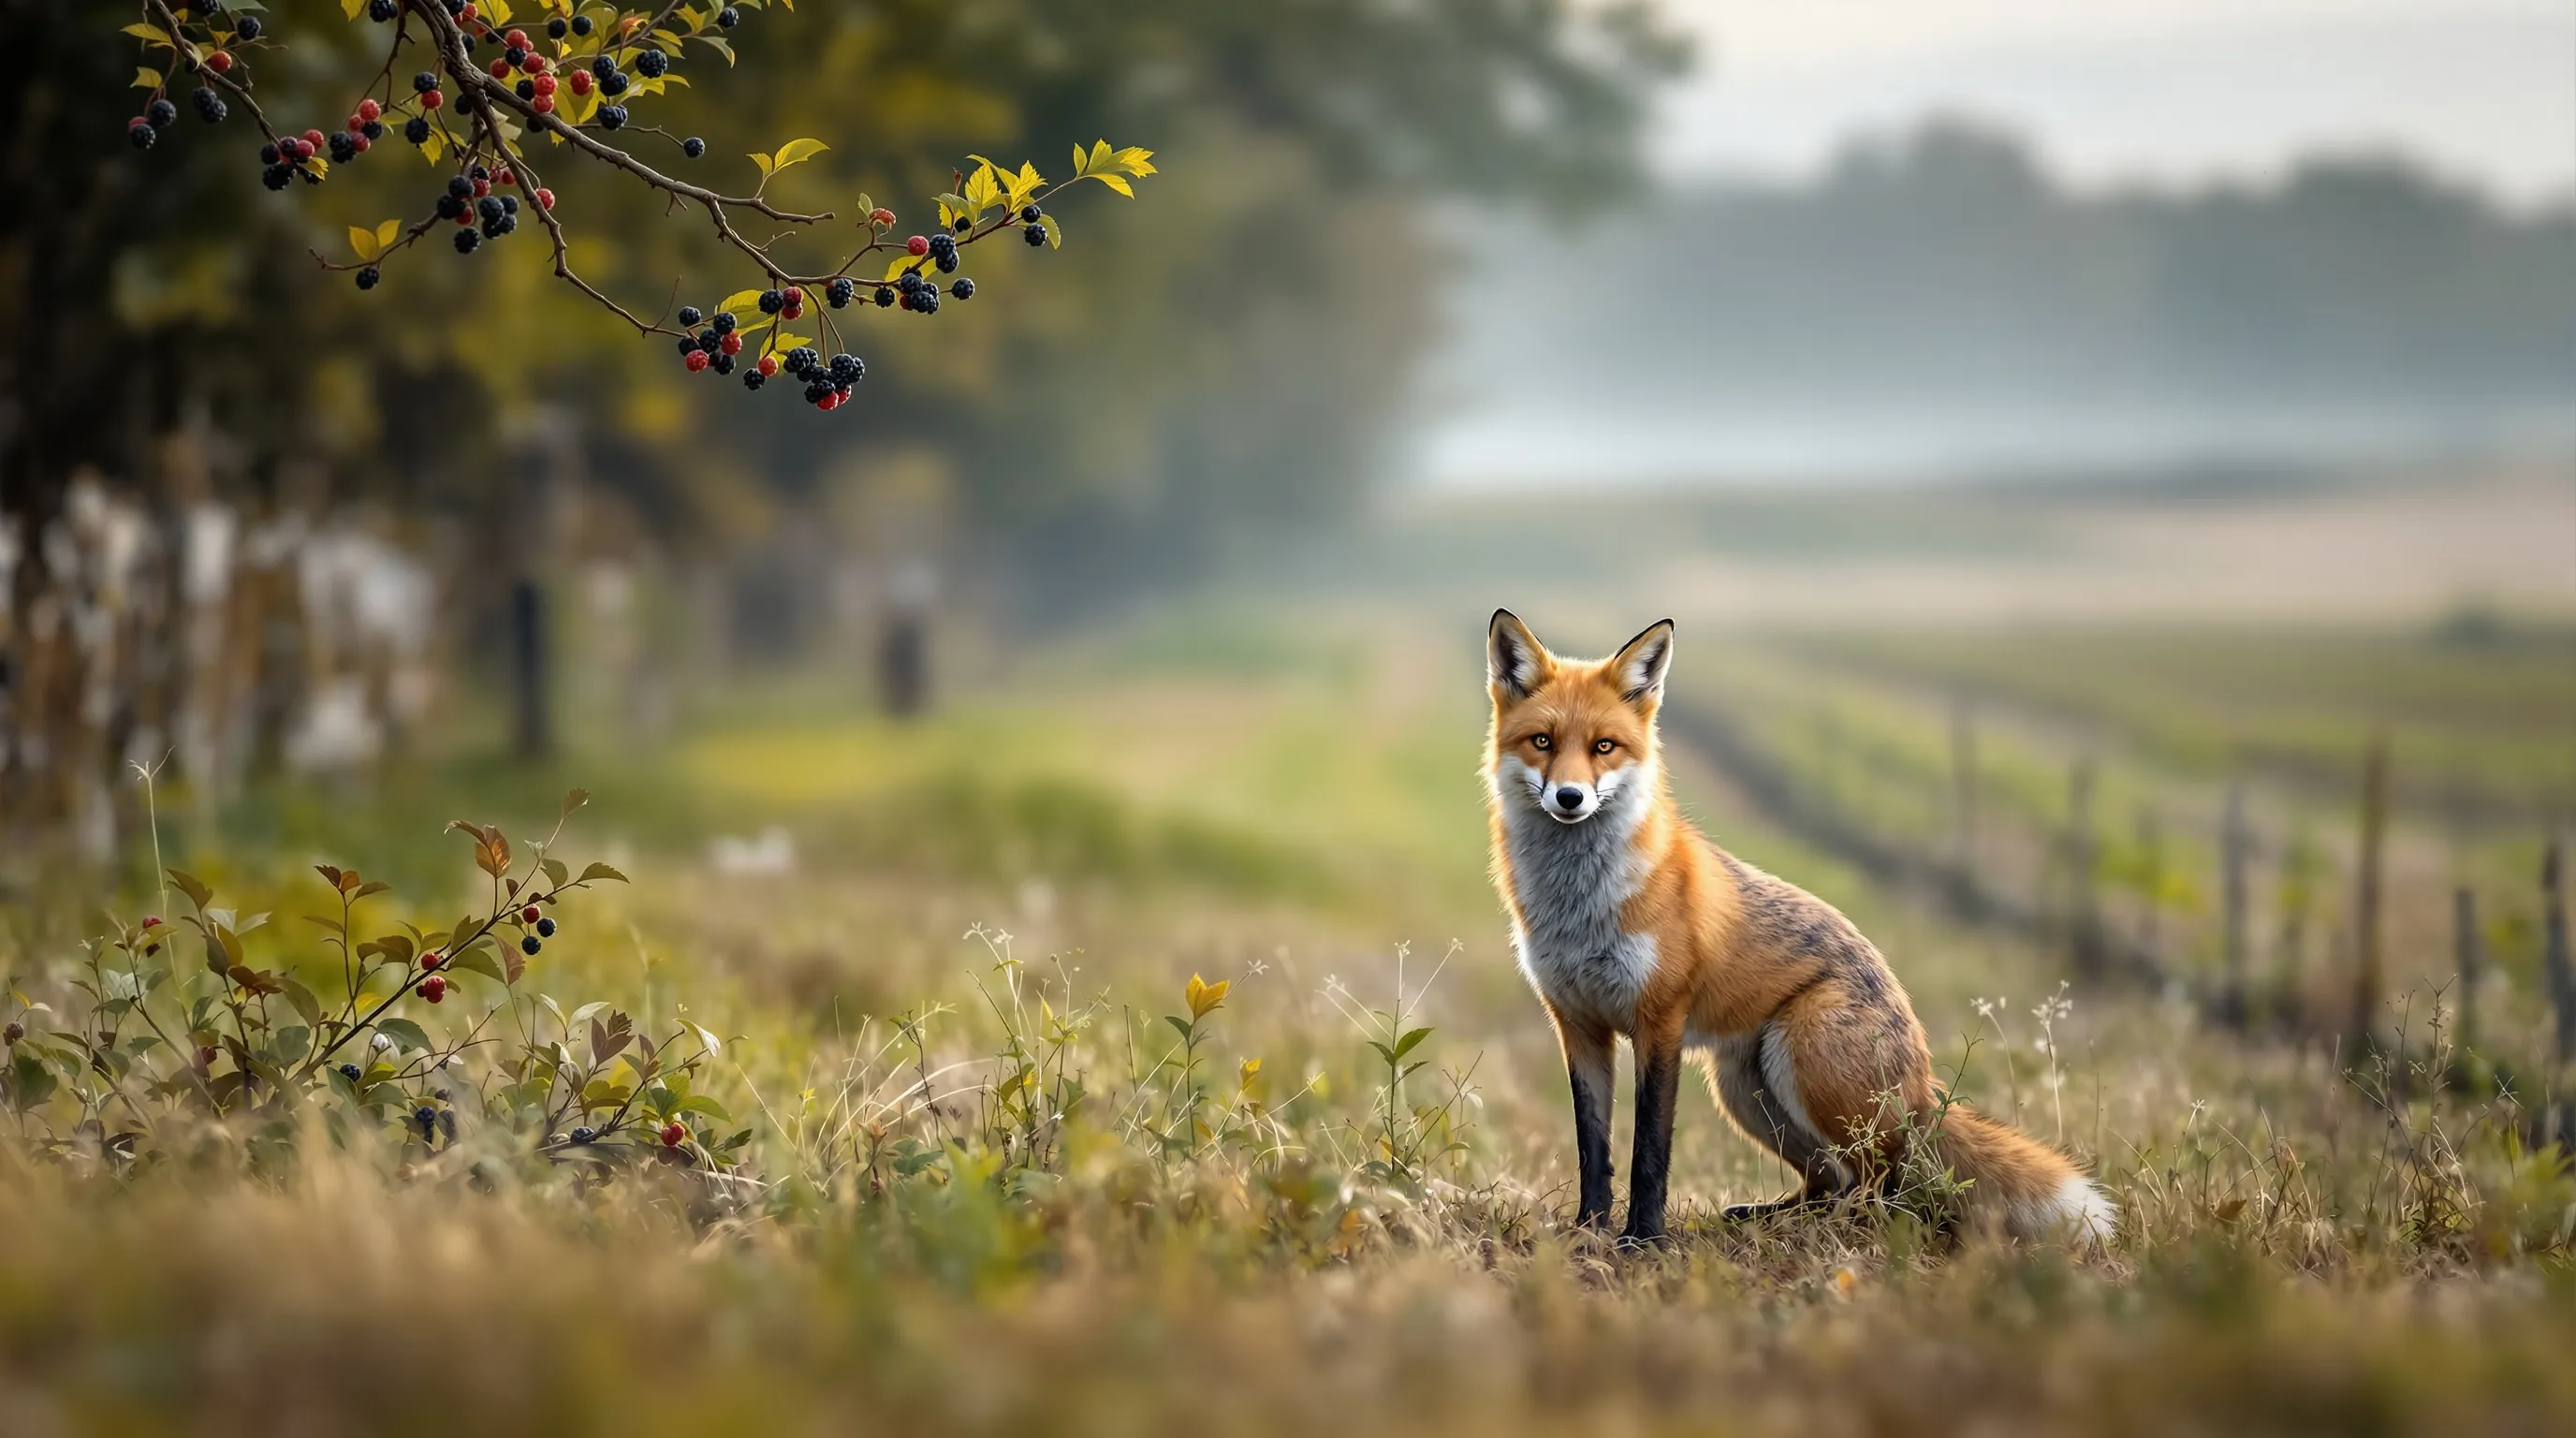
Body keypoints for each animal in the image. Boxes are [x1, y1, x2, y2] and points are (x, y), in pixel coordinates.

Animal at [1483, 610, 2114, 1247]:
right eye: (1543, 742)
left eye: (1604, 747)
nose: (1569, 797)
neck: (1579, 907)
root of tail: (1924, 1082)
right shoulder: (1578, 1025)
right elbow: (1594, 1149)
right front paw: (1588, 1231)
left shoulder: (1658, 1023)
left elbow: (1649, 1152)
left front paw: (1644, 1240)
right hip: (1746, 1090)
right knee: (1829, 1178)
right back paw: (1766, 1218)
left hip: (1803, 1062)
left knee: (1876, 1183)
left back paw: (1839, 1230)